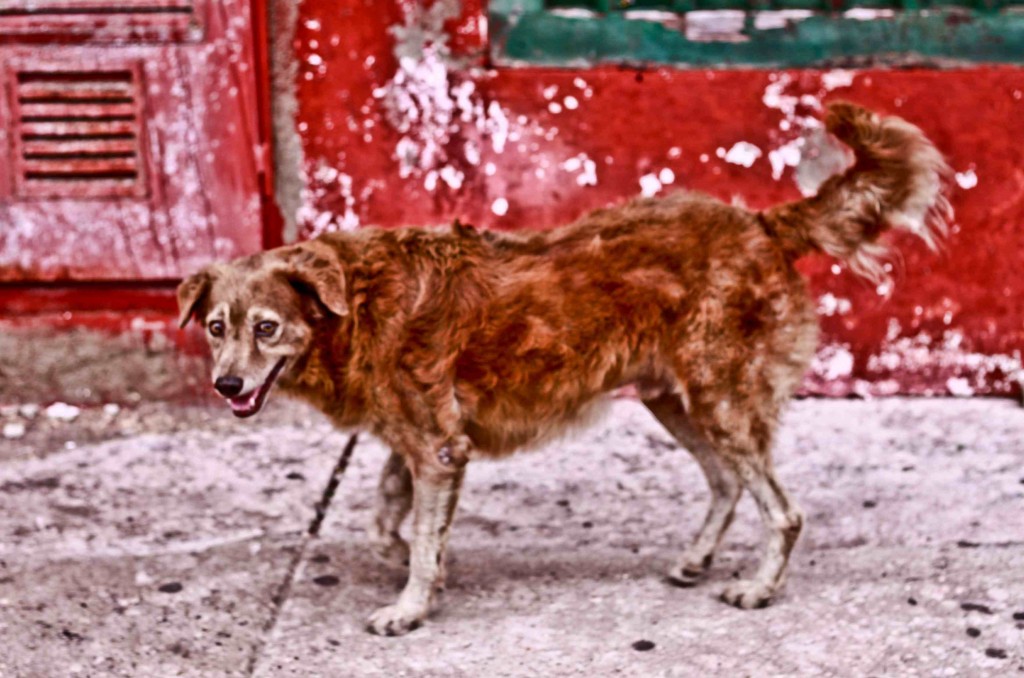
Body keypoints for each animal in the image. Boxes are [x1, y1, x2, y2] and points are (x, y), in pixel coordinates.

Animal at [178, 102, 950, 639]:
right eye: (217, 328)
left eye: (266, 328)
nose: (227, 385)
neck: (353, 305)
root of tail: (761, 224)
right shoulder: (423, 440)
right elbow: (389, 511)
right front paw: (406, 559)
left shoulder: (438, 445)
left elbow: (420, 534)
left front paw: (410, 604)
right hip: (675, 400)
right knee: (729, 482)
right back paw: (696, 560)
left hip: (719, 398)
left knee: (783, 511)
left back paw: (759, 589)